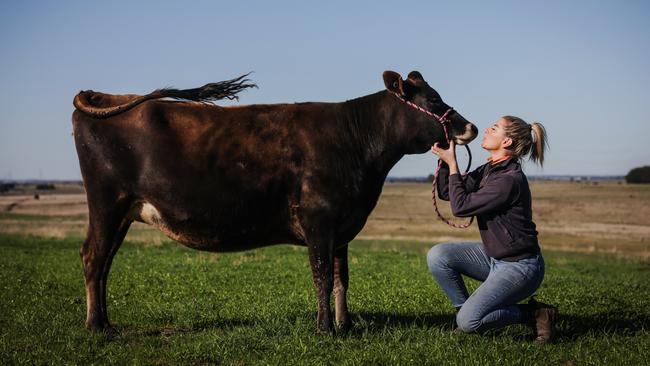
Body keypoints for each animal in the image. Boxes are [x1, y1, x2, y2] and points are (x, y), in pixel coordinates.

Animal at [72, 71, 476, 334]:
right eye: (433, 99)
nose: (469, 127)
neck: (357, 144)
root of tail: (108, 96)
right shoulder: (319, 220)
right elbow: (322, 276)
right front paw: (325, 329)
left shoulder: (342, 226)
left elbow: (342, 279)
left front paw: (345, 325)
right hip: (107, 203)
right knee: (94, 256)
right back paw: (95, 326)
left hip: (122, 214)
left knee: (105, 262)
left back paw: (106, 321)